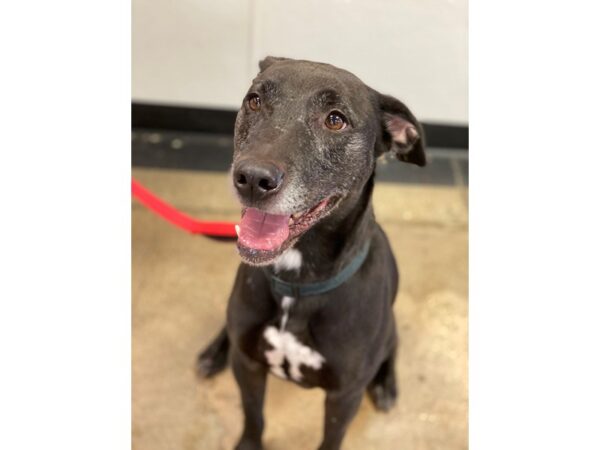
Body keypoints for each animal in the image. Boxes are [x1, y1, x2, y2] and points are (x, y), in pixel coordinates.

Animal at [199, 57, 424, 450]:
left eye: (335, 119)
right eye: (255, 100)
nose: (252, 178)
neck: (298, 281)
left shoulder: (344, 396)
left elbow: (331, 438)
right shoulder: (248, 366)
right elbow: (253, 416)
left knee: (393, 344)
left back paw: (386, 385)